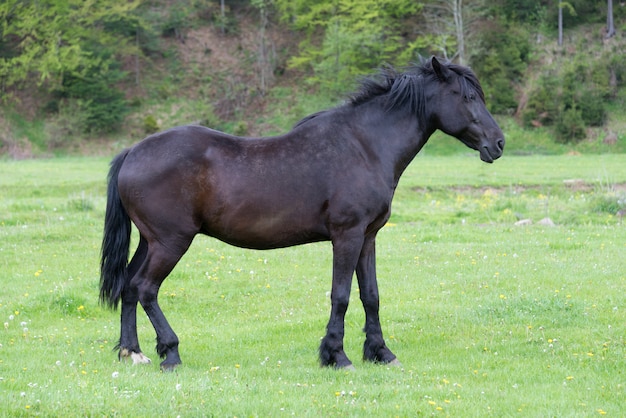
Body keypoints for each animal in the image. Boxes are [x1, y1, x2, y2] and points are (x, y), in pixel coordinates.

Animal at [101, 57, 502, 370]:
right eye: (468, 97)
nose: (498, 143)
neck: (365, 146)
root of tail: (134, 151)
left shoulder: (368, 237)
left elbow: (370, 295)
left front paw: (381, 352)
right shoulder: (347, 235)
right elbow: (340, 295)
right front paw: (336, 355)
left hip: (150, 241)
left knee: (129, 286)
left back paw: (132, 352)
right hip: (171, 242)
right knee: (146, 288)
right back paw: (170, 352)